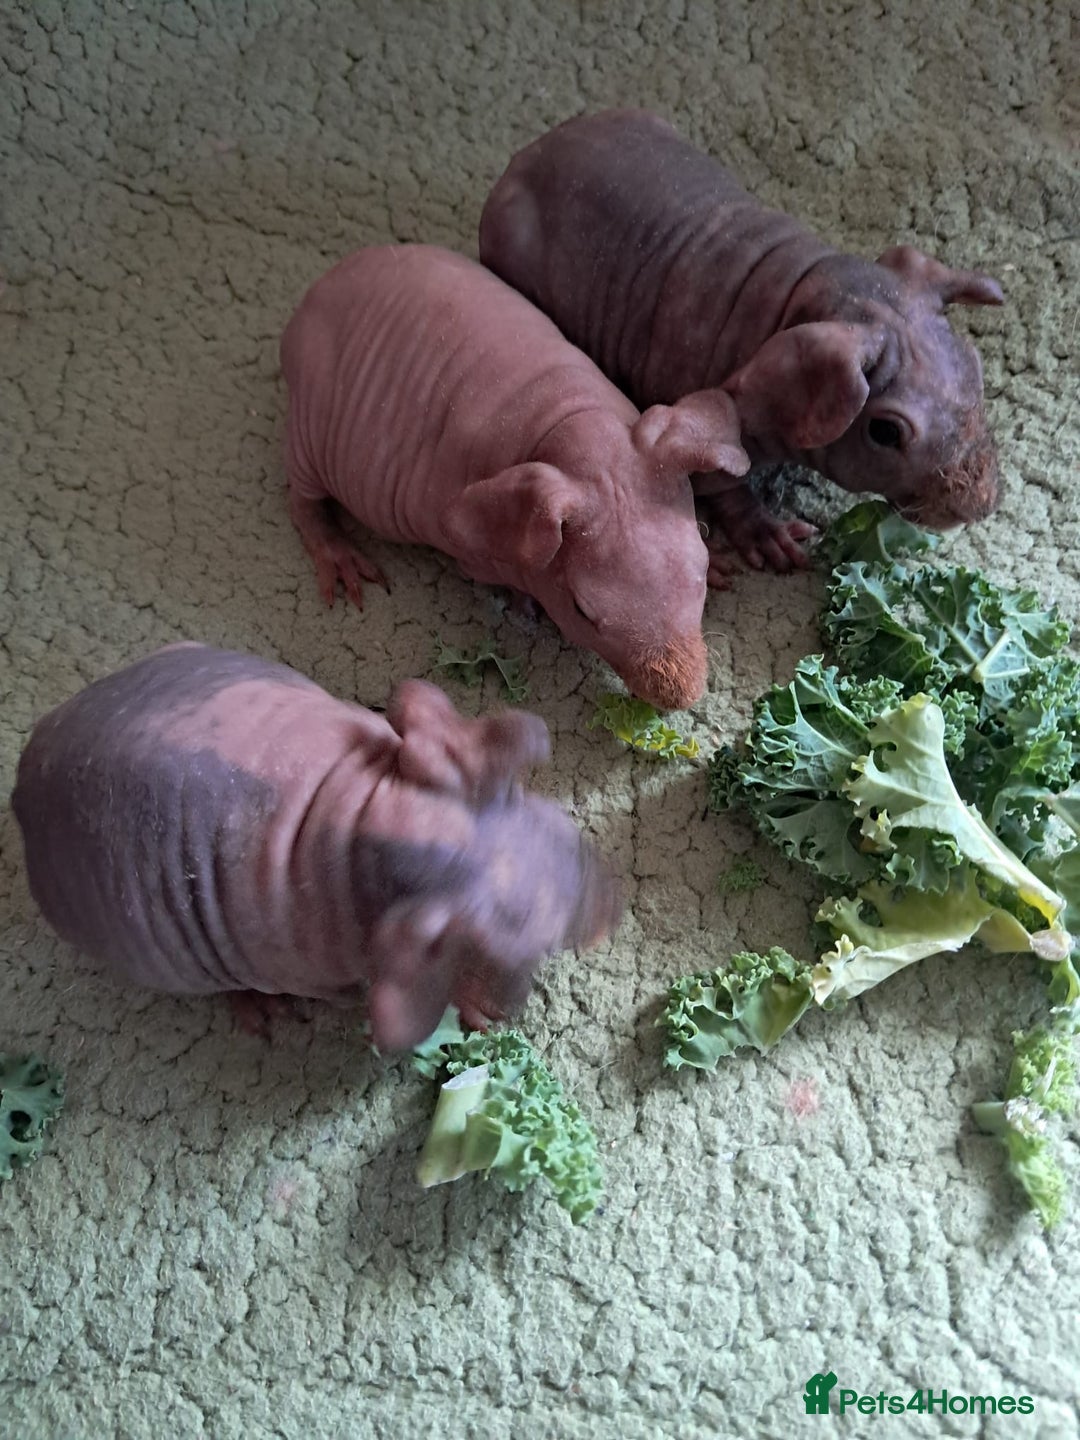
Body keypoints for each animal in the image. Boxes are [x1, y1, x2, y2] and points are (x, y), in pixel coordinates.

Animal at [11, 644, 621, 1051]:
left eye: (559, 824)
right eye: (525, 950)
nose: (612, 911)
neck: (357, 827)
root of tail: (22, 785)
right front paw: (472, 1008)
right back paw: (253, 1007)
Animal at [280, 244, 754, 711]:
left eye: (699, 566)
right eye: (581, 610)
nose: (680, 696)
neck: (570, 422)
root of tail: (310, 300)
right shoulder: (471, 548)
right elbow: (497, 574)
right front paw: (524, 601)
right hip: (308, 425)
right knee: (303, 500)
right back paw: (336, 552)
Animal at [479, 108, 1005, 581]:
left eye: (978, 369)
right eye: (886, 432)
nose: (980, 505)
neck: (805, 288)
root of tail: (529, 153)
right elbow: (719, 478)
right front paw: (762, 529)